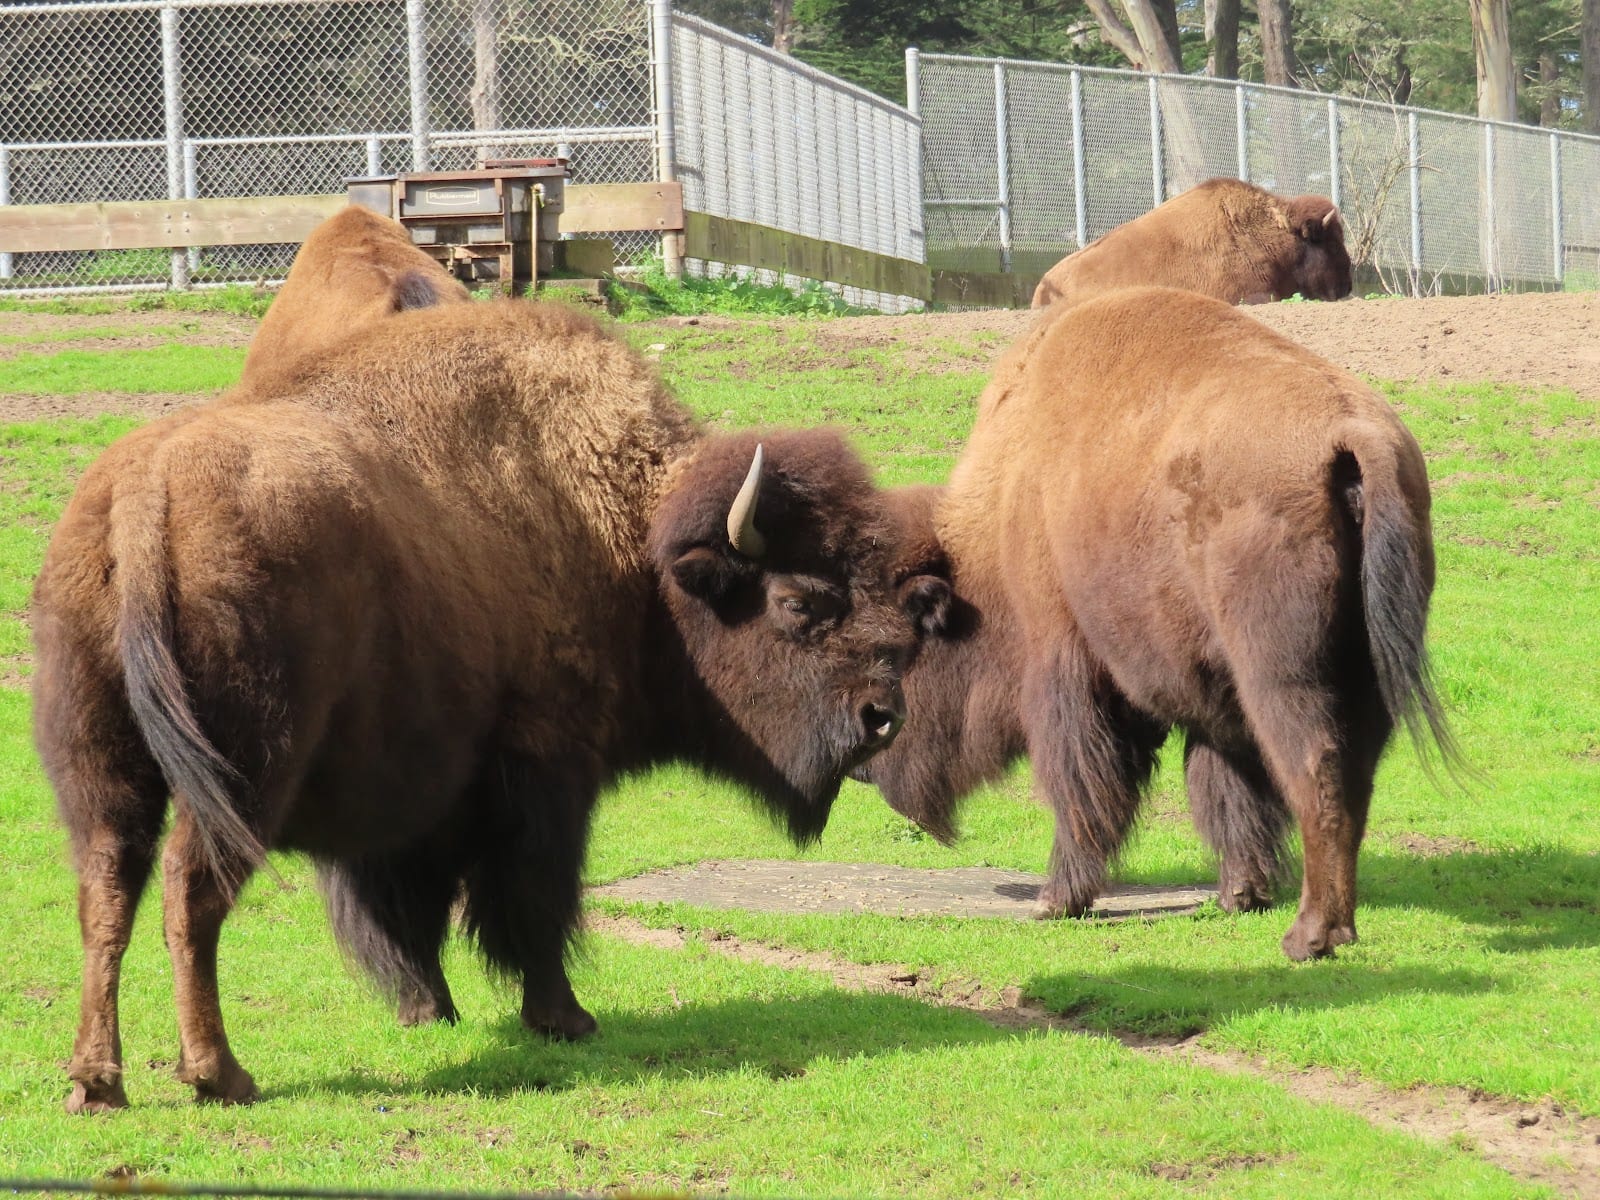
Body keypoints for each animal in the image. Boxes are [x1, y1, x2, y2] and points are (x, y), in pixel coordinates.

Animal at [33, 297, 917, 1113]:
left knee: (106, 890)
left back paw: (96, 1082)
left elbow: (413, 910)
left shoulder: (416, 798)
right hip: (243, 772)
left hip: (103, 768)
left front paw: (430, 1009)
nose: (884, 716)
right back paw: (219, 1074)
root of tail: (144, 493)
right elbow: (533, 896)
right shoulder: (548, 768)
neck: (629, 534)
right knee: (190, 892)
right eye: (800, 603)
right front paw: (563, 1017)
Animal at [860, 286, 1458, 962]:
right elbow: (1226, 786)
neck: (1011, 491)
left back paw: (1308, 936)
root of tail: (1351, 434)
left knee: (1316, 769)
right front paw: (1240, 892)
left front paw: (1057, 900)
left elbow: (1083, 781)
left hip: (1281, 674)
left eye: (898, 651)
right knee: (1354, 777)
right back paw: (1335, 925)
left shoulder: (1067, 663)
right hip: (1366, 670)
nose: (863, 761)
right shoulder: (1211, 697)